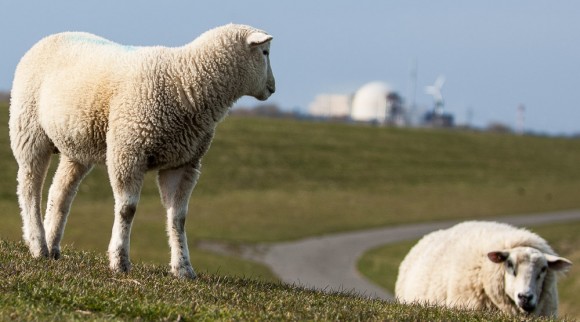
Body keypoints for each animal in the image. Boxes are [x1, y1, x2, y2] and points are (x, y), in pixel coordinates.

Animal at [9, 23, 276, 278]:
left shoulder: (183, 163)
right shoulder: (128, 151)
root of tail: (50, 37)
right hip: (29, 129)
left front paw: (183, 268)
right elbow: (127, 209)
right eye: (265, 52)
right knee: (29, 187)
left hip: (76, 145)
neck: (185, 80)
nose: (273, 88)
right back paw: (37, 244)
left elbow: (178, 218)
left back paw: (52, 247)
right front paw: (119, 261)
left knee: (60, 192)